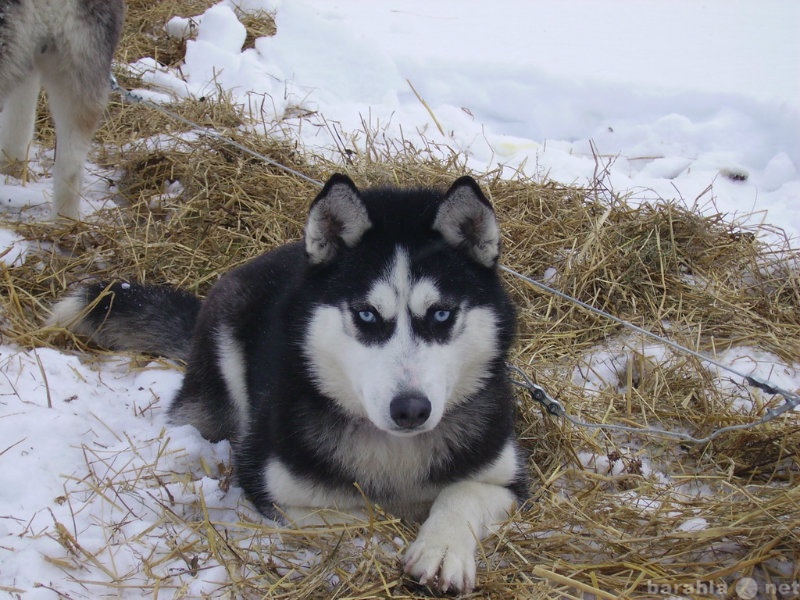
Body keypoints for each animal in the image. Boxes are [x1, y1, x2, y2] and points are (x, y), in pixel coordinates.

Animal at [53, 175, 536, 596]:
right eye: (366, 314)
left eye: (441, 314)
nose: (411, 409)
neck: (395, 458)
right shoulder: (274, 488)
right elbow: (356, 518)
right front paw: (393, 531)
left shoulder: (507, 480)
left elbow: (461, 494)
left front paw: (440, 550)